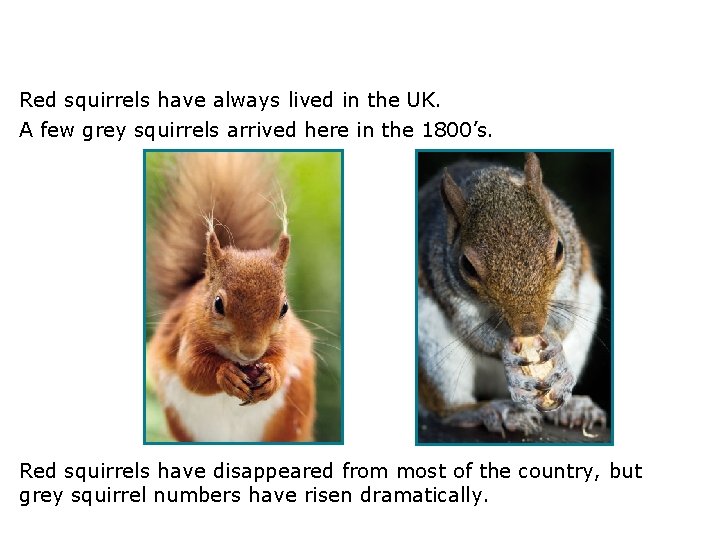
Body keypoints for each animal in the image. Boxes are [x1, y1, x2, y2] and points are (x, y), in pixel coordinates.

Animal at [147, 152, 315, 442]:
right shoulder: (187, 334)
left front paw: (272, 376)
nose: (251, 352)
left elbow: (284, 362)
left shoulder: (288, 341)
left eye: (284, 308)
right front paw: (224, 374)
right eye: (218, 304)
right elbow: (190, 370)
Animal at [418, 152, 606, 436]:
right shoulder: (446, 284)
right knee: (445, 407)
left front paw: (554, 344)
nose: (529, 326)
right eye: (467, 266)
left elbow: (566, 316)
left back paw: (572, 405)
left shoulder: (572, 268)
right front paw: (506, 351)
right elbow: (472, 331)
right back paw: (487, 410)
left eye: (559, 248)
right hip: (432, 345)